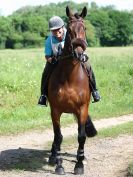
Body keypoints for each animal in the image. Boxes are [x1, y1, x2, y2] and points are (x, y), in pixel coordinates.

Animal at [47, 6, 97, 175]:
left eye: (84, 28)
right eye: (69, 30)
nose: (80, 53)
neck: (70, 77)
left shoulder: (82, 109)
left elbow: (81, 136)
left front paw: (79, 165)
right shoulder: (55, 110)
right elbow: (58, 136)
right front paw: (59, 165)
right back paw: (52, 156)